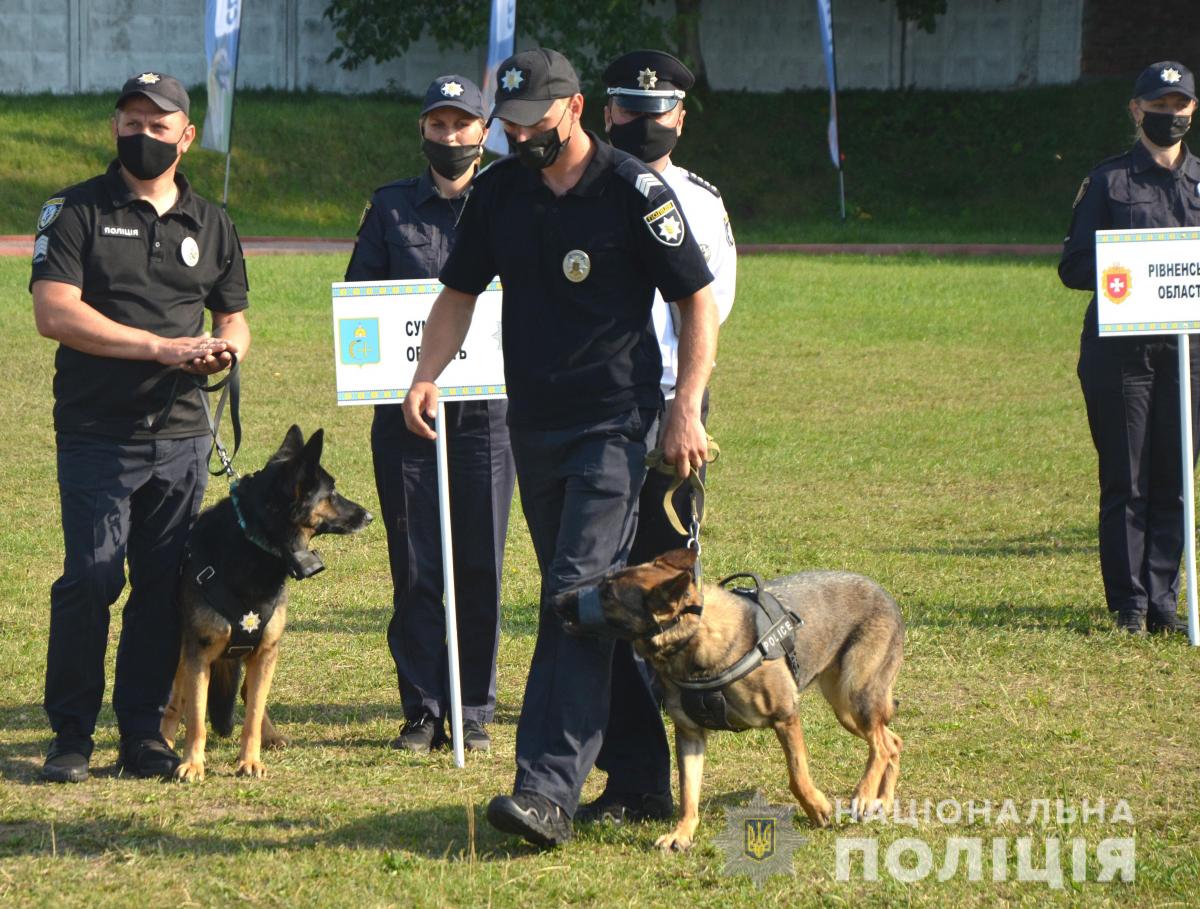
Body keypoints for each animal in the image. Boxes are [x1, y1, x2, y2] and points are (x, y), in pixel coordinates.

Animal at [160, 426, 369, 781]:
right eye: (332, 493)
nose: (369, 515)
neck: (253, 543)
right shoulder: (198, 653)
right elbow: (197, 718)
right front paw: (193, 763)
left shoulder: (266, 650)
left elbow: (253, 715)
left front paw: (250, 760)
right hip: (182, 652)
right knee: (176, 699)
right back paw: (164, 740)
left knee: (248, 695)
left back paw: (270, 735)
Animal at [552, 549, 902, 853]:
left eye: (608, 595)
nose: (555, 599)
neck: (694, 639)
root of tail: (885, 594)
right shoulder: (690, 735)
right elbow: (688, 791)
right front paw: (682, 833)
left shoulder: (785, 716)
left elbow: (797, 775)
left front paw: (817, 808)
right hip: (845, 708)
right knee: (892, 741)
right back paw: (882, 801)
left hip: (855, 696)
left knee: (881, 745)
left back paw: (864, 795)